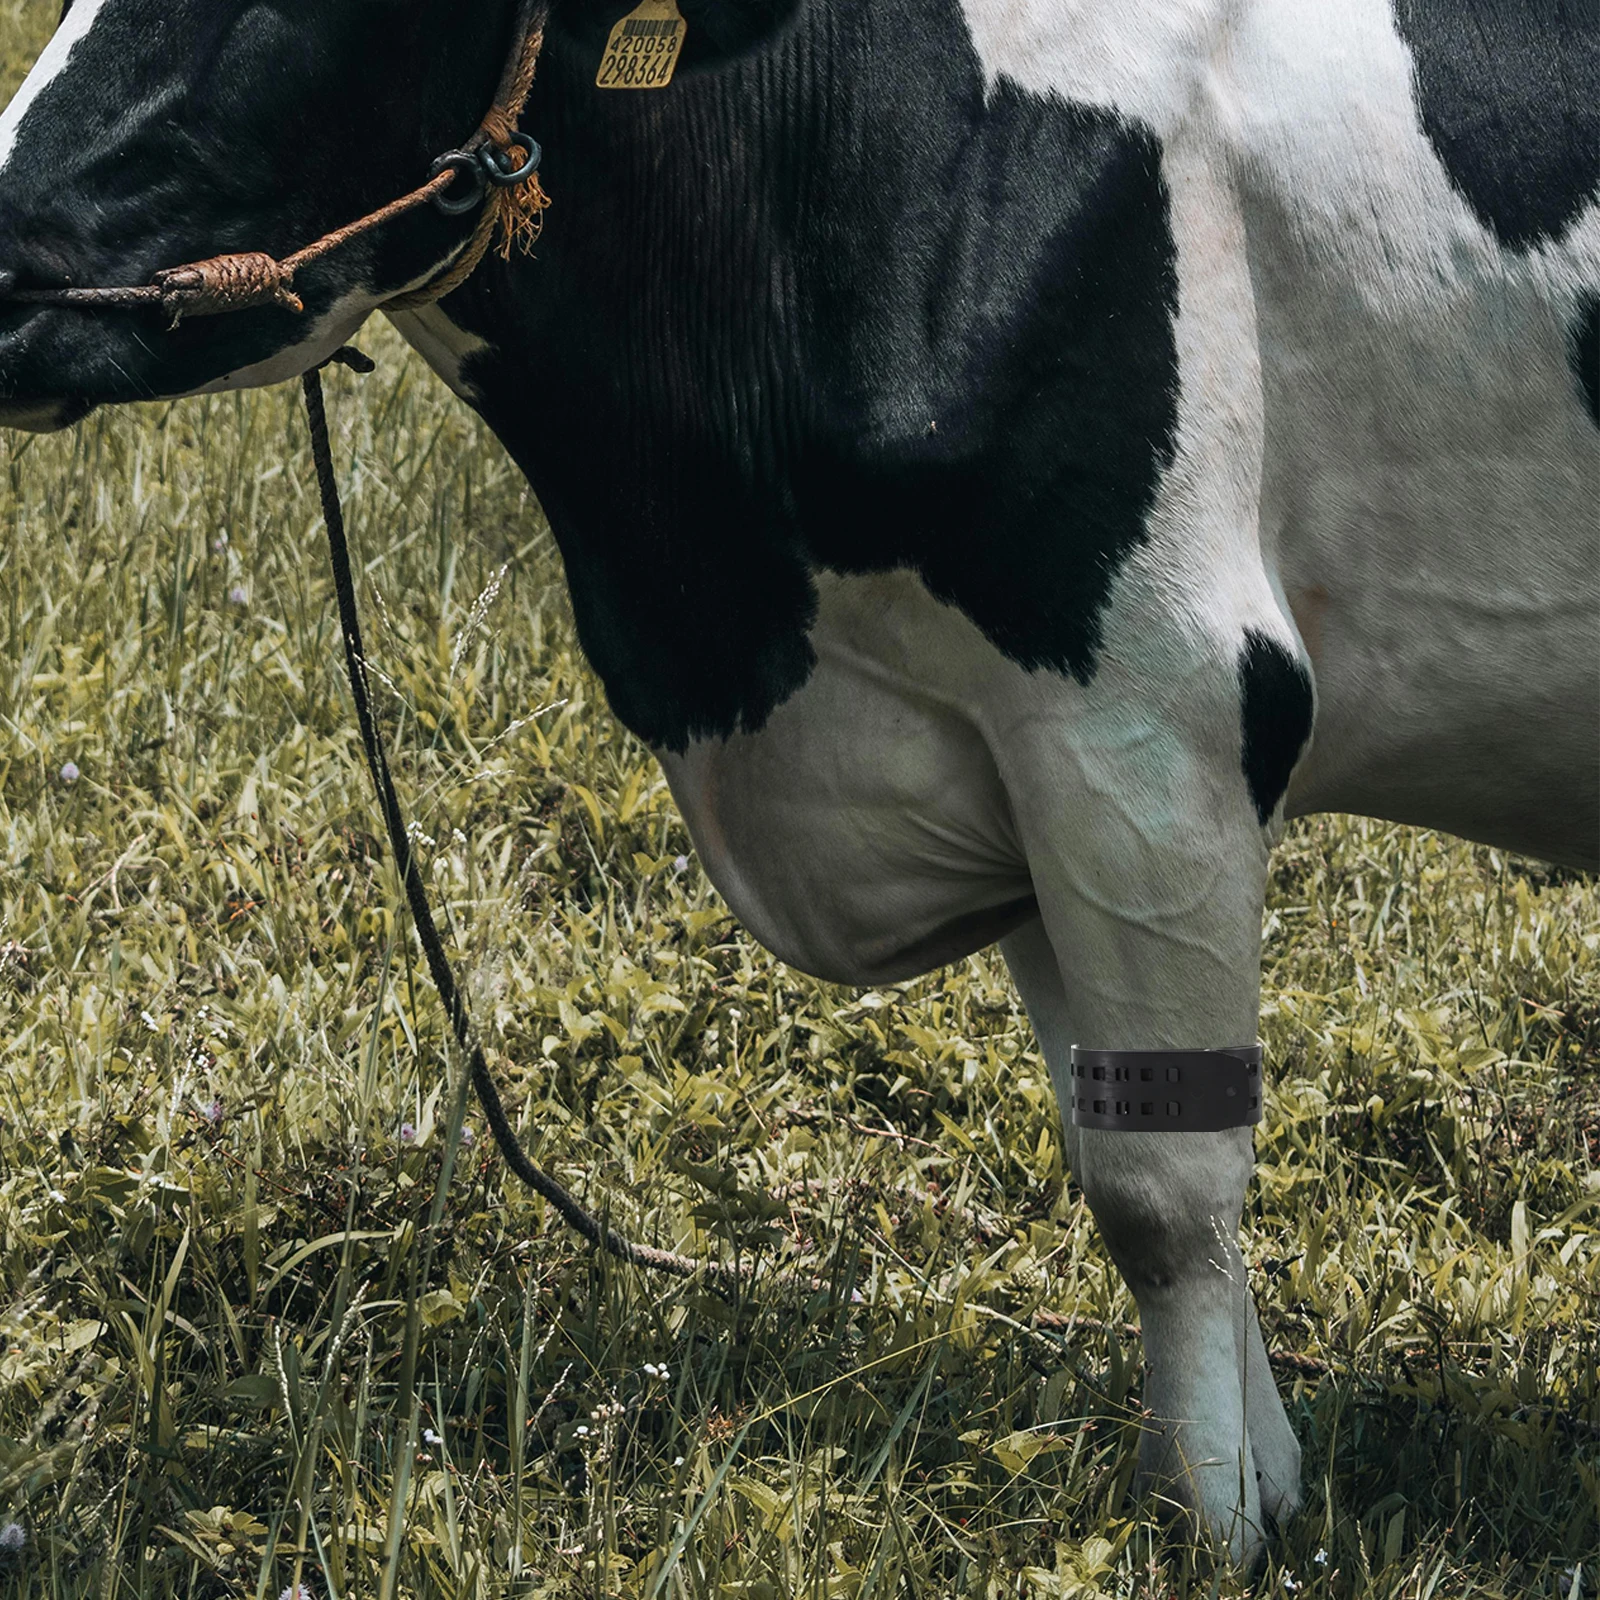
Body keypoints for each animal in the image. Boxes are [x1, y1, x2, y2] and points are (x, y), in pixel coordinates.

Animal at [0, 0, 1595, 1563]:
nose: (4, 264)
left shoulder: (1155, 712)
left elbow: (1168, 1190)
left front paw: (1207, 1530)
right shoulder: (1016, 753)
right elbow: (1106, 1135)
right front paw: (1256, 1472)